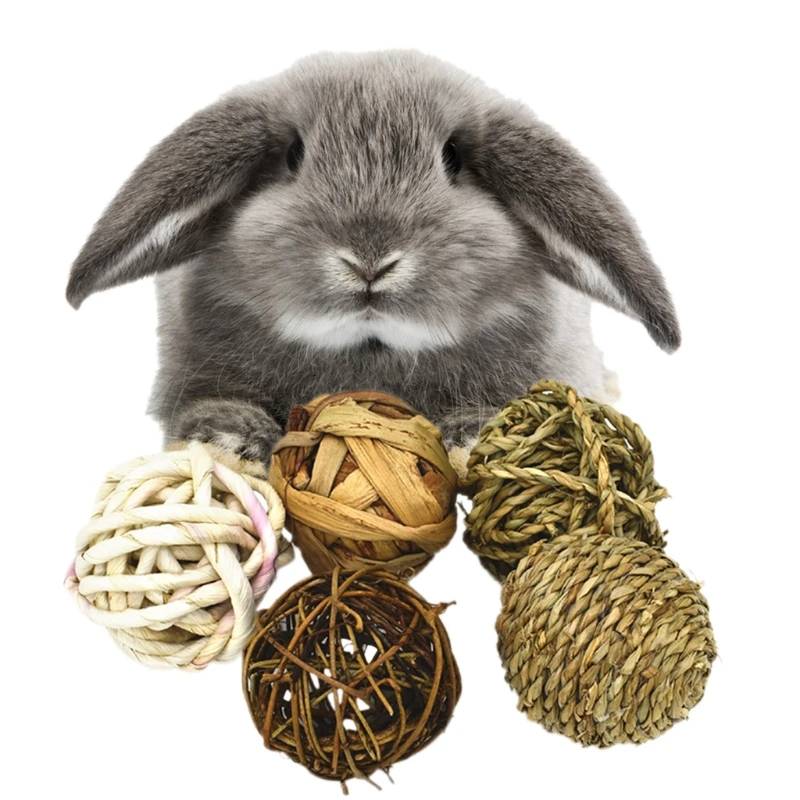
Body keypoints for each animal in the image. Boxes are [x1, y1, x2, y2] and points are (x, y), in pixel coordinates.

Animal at [66, 50, 680, 473]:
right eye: (294, 155)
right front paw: (229, 442)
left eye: (452, 158)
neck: (368, 352)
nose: (369, 260)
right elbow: (209, 409)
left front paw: (472, 438)